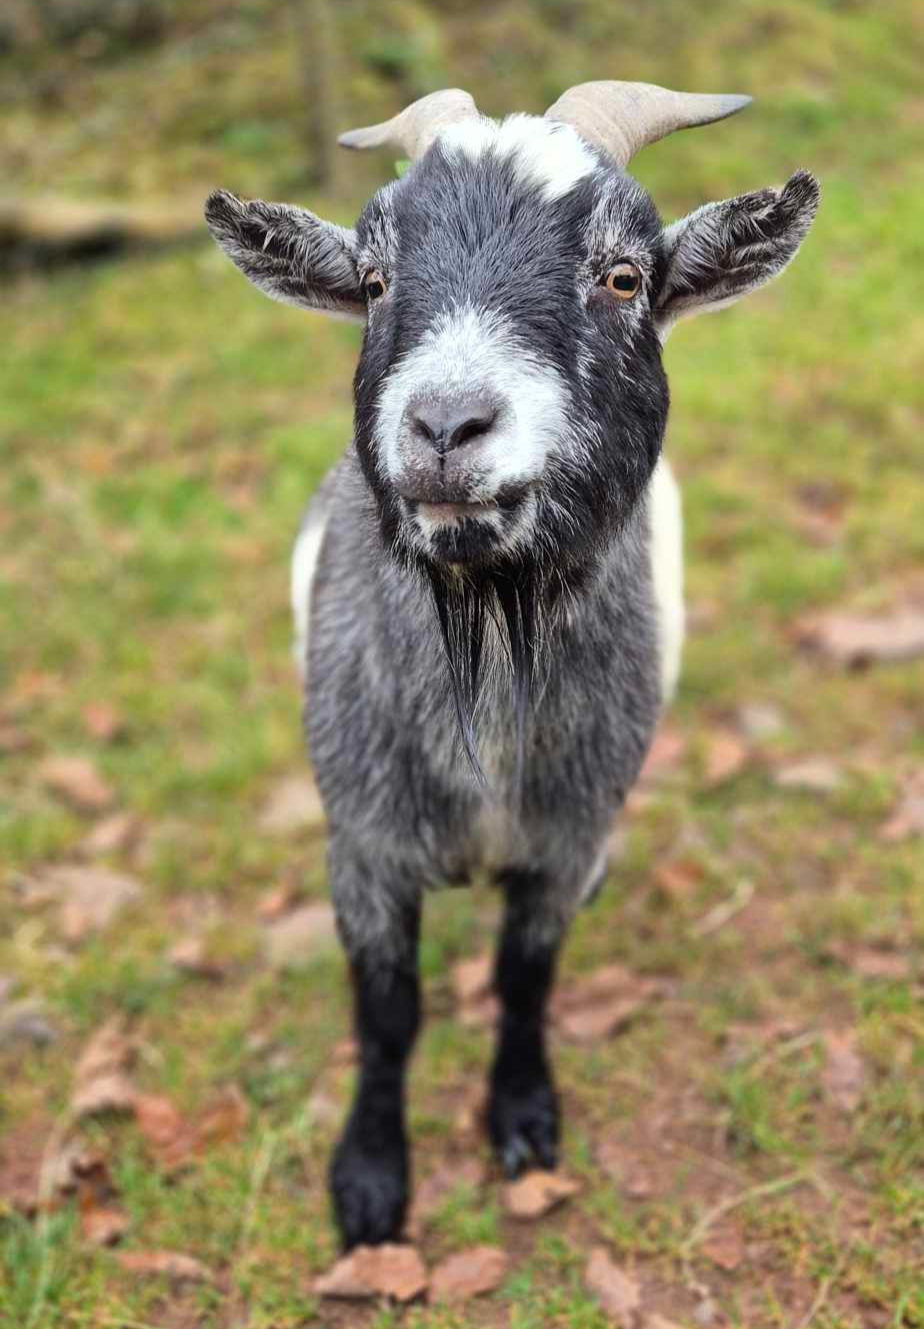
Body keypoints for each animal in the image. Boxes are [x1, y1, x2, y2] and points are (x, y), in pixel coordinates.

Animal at [205, 81, 819, 1249]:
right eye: (374, 280)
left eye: (623, 276)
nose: (447, 424)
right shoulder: (364, 842)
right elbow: (388, 1013)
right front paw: (369, 1179)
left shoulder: (563, 838)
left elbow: (524, 977)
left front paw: (524, 1116)